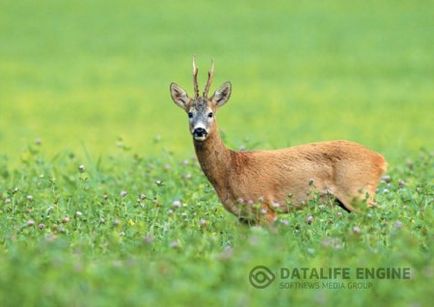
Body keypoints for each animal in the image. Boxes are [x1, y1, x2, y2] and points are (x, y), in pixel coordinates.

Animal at [169, 59, 386, 225]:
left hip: (357, 192)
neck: (230, 169)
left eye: (210, 113)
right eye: (189, 113)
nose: (199, 130)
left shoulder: (265, 207)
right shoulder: (244, 217)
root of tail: (381, 160)